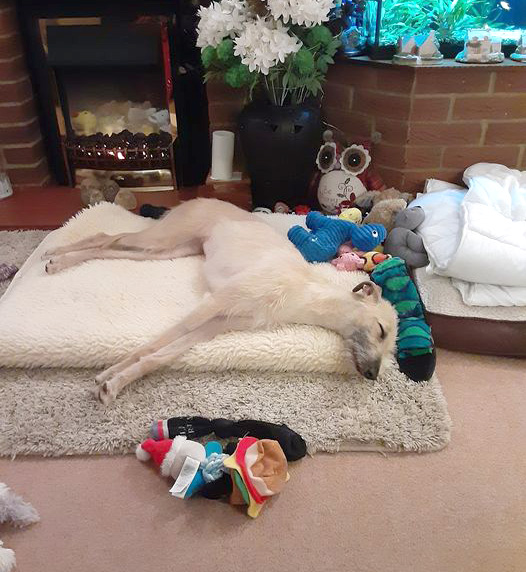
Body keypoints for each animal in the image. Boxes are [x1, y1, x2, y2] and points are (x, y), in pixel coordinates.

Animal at [44, 199, 400, 404]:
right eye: (381, 330)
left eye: (390, 350)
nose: (373, 375)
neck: (301, 292)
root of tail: (200, 196)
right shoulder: (214, 302)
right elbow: (152, 345)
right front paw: (110, 373)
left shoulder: (218, 323)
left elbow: (159, 355)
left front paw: (117, 382)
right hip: (162, 238)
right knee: (106, 237)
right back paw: (55, 253)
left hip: (170, 249)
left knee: (108, 247)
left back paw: (60, 260)